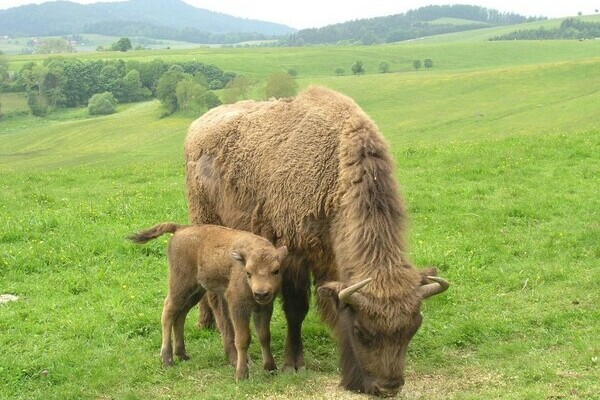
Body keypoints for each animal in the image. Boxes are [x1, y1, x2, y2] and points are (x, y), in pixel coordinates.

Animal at [127, 223, 288, 380]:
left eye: (276, 270)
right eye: (248, 272)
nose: (261, 293)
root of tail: (180, 229)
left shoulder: (265, 308)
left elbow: (264, 336)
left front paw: (271, 368)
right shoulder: (238, 307)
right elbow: (243, 339)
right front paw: (241, 374)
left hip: (196, 291)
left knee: (180, 315)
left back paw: (182, 354)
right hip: (180, 285)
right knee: (168, 312)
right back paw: (167, 360)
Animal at [185, 86, 448, 396]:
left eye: (412, 328)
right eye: (361, 331)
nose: (388, 387)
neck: (335, 173)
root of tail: (197, 126)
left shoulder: (330, 260)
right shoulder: (294, 257)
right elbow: (296, 310)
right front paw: (292, 363)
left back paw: (206, 323)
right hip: (206, 219)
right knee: (215, 295)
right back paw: (228, 349)